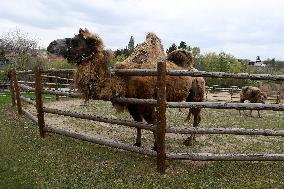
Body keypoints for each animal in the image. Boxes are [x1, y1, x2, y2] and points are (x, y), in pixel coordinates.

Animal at [48, 28, 204, 148]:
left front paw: (155, 147)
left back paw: (190, 141)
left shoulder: (147, 103)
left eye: (75, 41)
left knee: (197, 117)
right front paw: (137, 143)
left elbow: (153, 125)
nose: (50, 44)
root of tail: (198, 74)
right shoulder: (132, 104)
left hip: (197, 93)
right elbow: (138, 124)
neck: (123, 80)